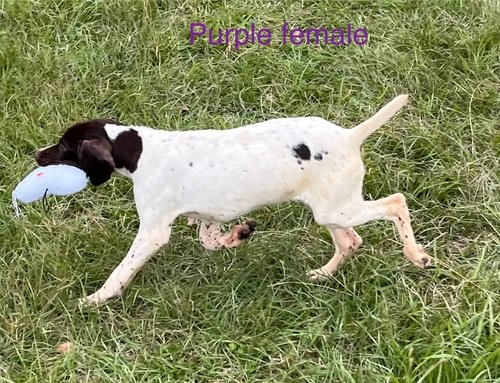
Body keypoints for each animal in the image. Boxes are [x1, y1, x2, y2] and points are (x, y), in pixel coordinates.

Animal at [35, 95, 432, 306]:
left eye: (65, 147)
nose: (37, 155)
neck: (139, 150)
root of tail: (350, 136)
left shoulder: (153, 232)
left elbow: (121, 271)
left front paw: (97, 298)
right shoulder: (210, 215)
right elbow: (210, 240)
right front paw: (238, 235)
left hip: (339, 208)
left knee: (395, 203)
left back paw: (416, 255)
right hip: (330, 210)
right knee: (351, 241)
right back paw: (322, 273)